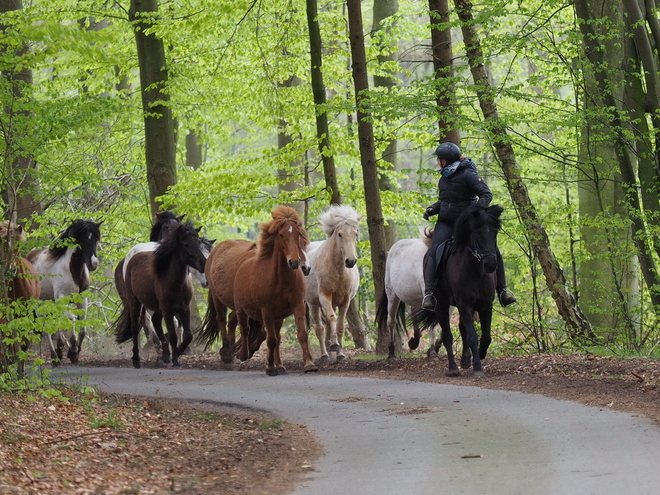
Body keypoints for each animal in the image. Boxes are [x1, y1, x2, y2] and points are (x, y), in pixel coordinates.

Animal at [114, 221, 206, 368]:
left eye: (198, 242)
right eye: (186, 244)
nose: (203, 264)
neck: (174, 280)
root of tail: (133, 257)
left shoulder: (185, 309)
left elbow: (188, 336)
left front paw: (177, 354)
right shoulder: (168, 310)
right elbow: (173, 336)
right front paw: (175, 360)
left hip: (157, 307)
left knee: (155, 322)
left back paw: (165, 355)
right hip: (135, 302)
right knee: (136, 327)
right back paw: (137, 360)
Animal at [199, 205, 318, 376]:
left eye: (299, 234)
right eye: (281, 234)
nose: (296, 263)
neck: (281, 280)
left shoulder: (297, 306)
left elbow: (299, 334)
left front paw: (308, 364)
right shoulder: (266, 310)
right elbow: (271, 339)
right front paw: (270, 367)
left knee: (234, 321)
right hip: (221, 300)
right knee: (227, 321)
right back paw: (231, 352)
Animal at [304, 203, 360, 362]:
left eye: (355, 234)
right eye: (339, 234)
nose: (350, 261)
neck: (339, 271)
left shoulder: (345, 301)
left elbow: (340, 325)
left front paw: (340, 354)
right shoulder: (325, 297)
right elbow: (331, 319)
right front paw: (335, 346)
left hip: (334, 303)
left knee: (329, 326)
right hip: (313, 304)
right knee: (320, 328)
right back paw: (324, 355)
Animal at [374, 232, 440, 360]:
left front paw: (433, 349)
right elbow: (432, 327)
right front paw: (433, 353)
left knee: (413, 312)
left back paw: (414, 341)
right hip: (392, 296)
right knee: (391, 321)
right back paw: (391, 352)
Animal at [412, 203, 506, 378]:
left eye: (495, 232)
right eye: (477, 232)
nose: (490, 265)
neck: (475, 271)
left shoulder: (485, 305)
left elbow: (486, 337)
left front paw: (480, 355)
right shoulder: (464, 304)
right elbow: (472, 336)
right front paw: (478, 367)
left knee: (462, 328)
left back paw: (465, 360)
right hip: (442, 305)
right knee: (447, 335)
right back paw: (453, 368)